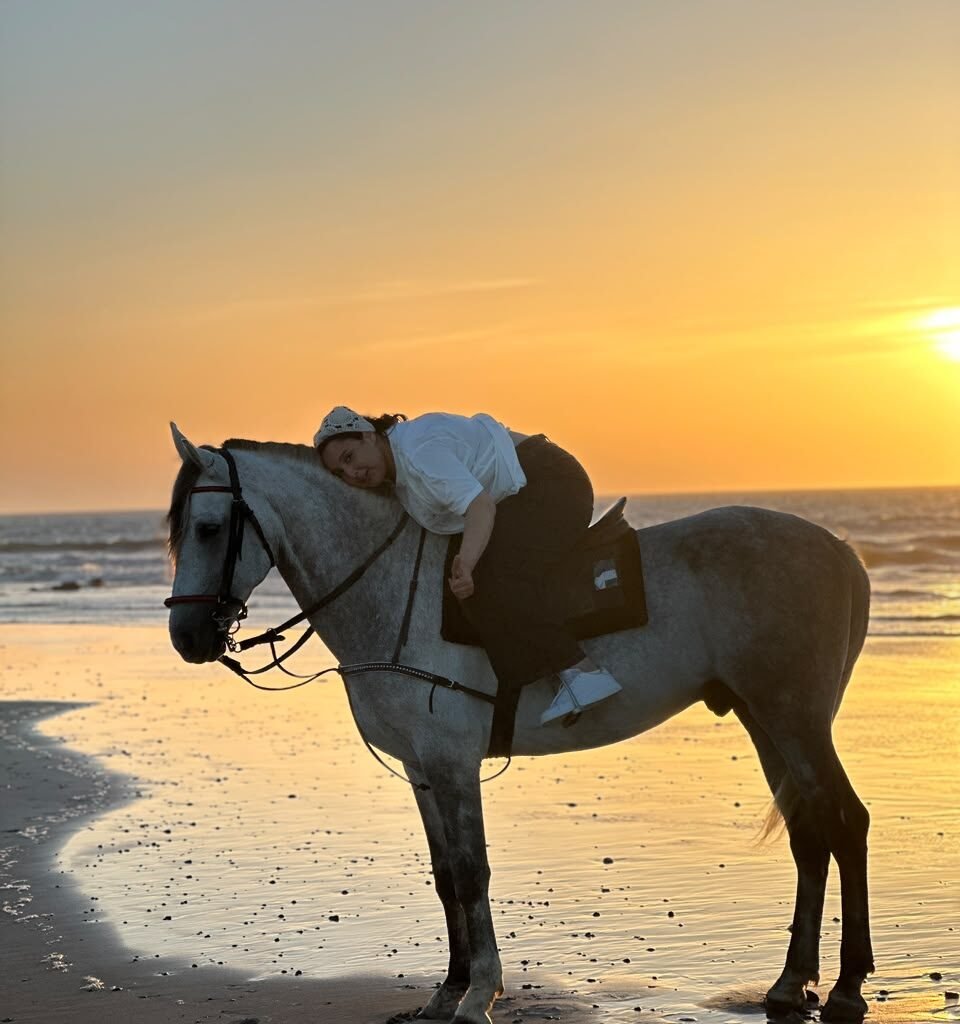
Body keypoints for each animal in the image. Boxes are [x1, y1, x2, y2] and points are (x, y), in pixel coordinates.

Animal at [165, 424, 874, 1024]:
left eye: (207, 527)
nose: (187, 637)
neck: (393, 592)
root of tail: (838, 547)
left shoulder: (452, 763)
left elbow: (471, 870)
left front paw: (479, 992)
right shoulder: (423, 769)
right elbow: (445, 874)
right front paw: (448, 989)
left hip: (795, 715)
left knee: (845, 823)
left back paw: (845, 987)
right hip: (765, 718)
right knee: (810, 834)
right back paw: (789, 984)